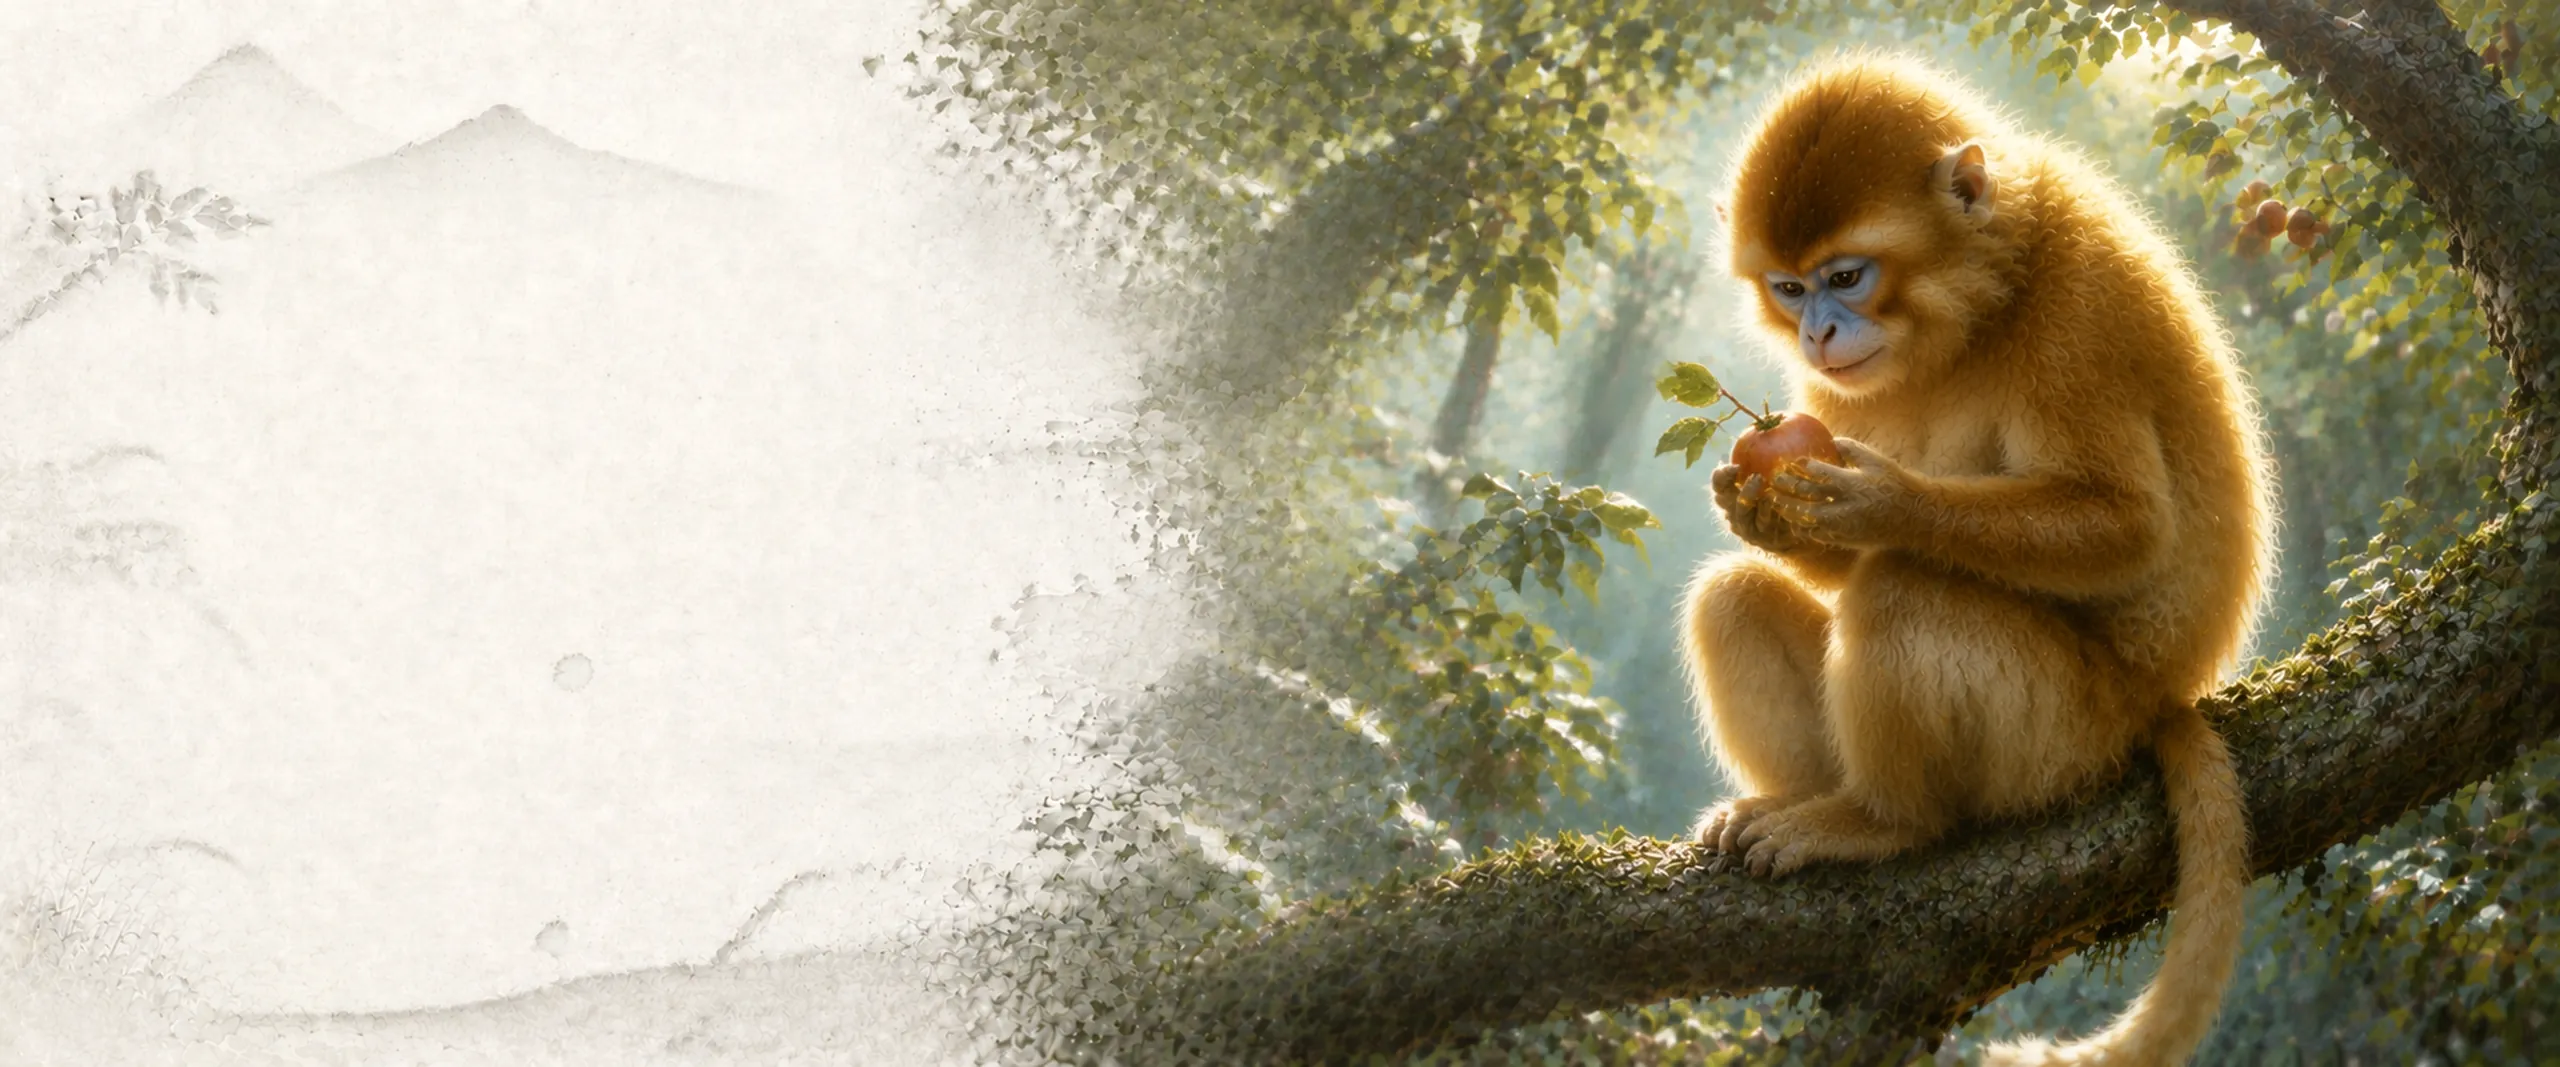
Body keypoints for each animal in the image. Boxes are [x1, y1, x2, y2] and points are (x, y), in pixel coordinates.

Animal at [1677, 55, 2274, 1067]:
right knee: (1736, 599)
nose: (1818, 333)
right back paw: (1805, 795)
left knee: (1906, 591)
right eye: (1790, 289)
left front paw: (1887, 503)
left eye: (1846, 276)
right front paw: (1761, 514)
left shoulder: (2083, 304)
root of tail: (2157, 700)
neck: (1987, 297)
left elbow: (2126, 525)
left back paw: (1883, 823)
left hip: (2062, 734)